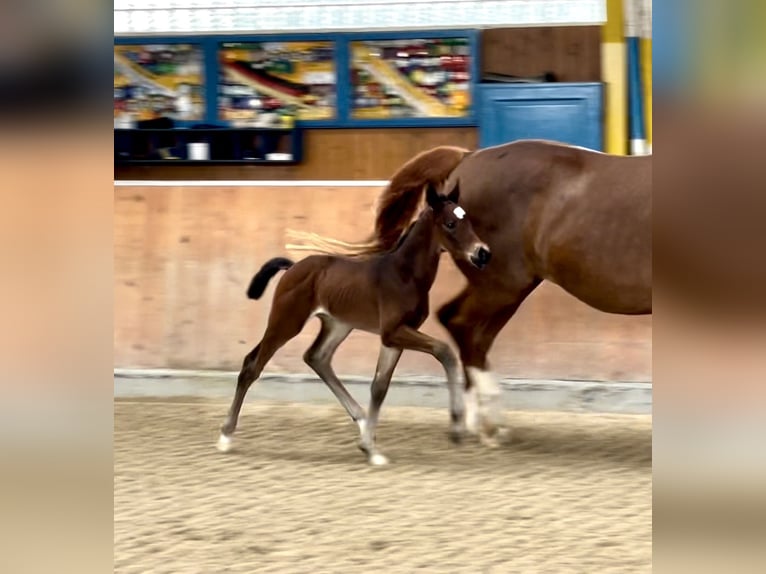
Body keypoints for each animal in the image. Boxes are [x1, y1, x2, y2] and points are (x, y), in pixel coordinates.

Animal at [216, 184, 492, 468]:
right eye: (450, 223)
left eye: (469, 221)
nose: (482, 253)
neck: (404, 275)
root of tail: (292, 267)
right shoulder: (393, 332)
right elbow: (444, 351)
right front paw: (456, 426)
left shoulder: (393, 338)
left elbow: (379, 386)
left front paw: (370, 448)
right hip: (287, 321)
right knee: (253, 365)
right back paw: (225, 437)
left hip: (338, 325)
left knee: (316, 357)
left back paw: (361, 421)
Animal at [292, 140, 652, 446]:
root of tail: (469, 156)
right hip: (501, 283)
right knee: (461, 324)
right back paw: (485, 422)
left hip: (504, 286)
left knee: (470, 331)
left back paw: (479, 421)